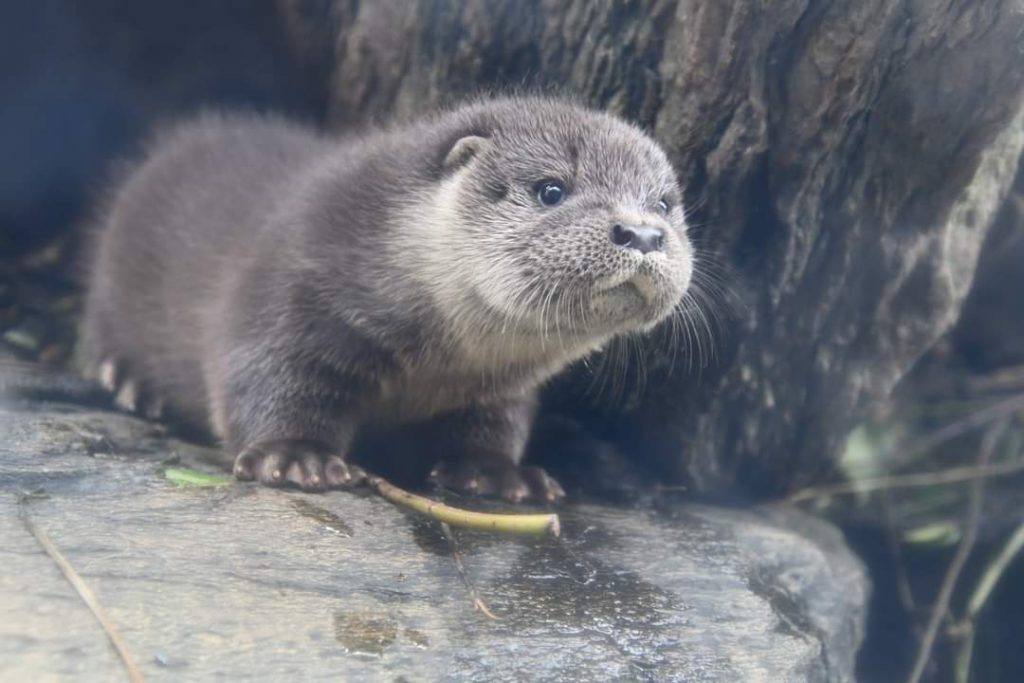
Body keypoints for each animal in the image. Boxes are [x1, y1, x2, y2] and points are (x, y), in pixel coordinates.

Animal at [79, 96, 692, 501]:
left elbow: (499, 420)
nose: (642, 233)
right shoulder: (285, 289)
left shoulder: (499, 383)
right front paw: (294, 456)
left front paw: (494, 472)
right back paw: (131, 381)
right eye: (551, 190)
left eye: (664, 203)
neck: (434, 363)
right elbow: (265, 380)